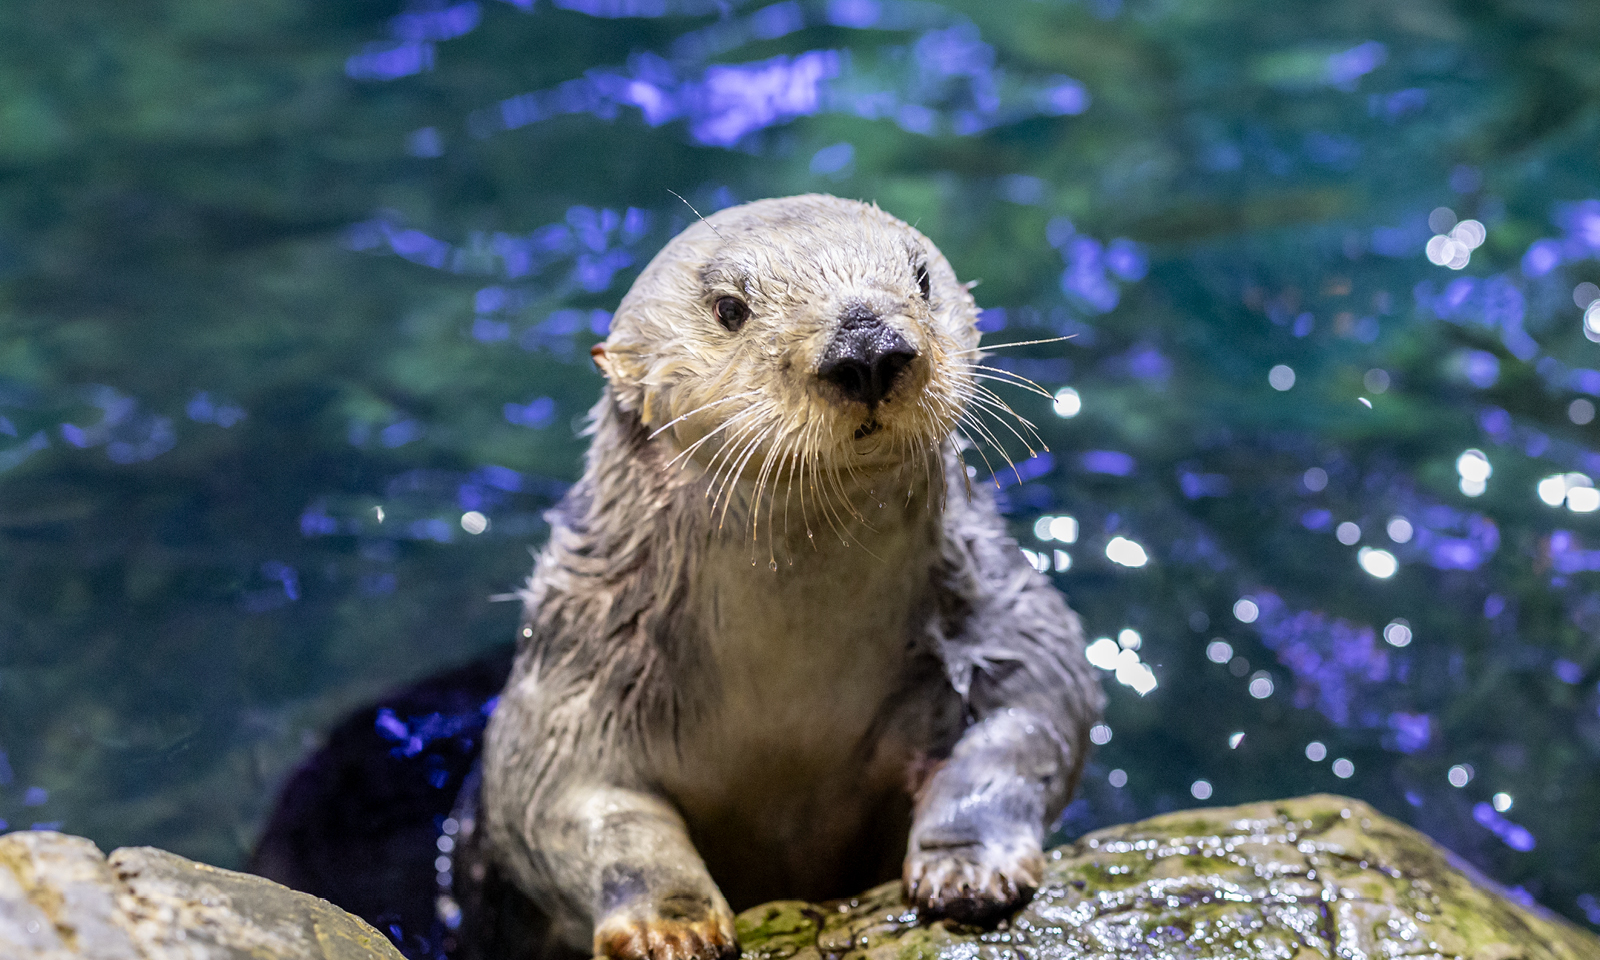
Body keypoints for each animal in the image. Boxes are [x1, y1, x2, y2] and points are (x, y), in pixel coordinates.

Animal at [475, 194, 1102, 960]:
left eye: (922, 278)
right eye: (728, 307)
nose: (867, 345)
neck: (797, 673)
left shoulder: (1005, 624)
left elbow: (1029, 723)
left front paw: (966, 867)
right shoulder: (572, 686)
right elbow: (571, 810)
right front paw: (671, 925)